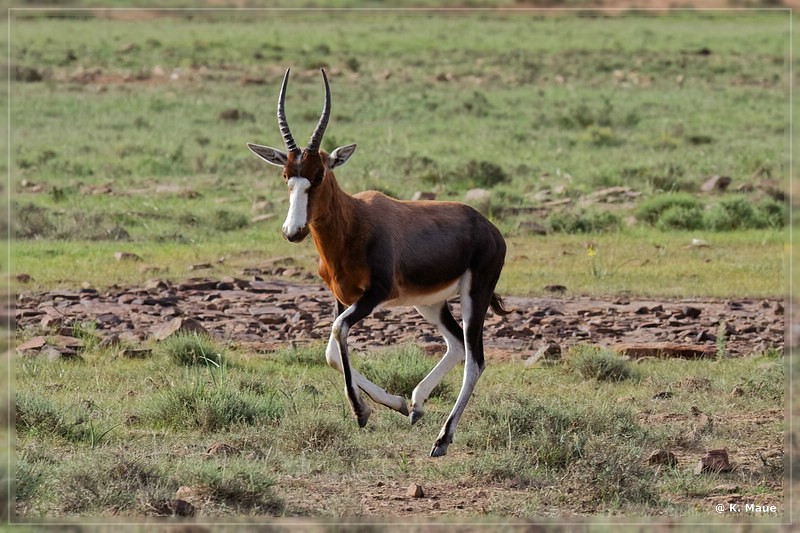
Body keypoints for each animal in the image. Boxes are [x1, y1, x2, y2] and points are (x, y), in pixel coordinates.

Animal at [247, 67, 506, 458]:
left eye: (320, 174)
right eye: (287, 175)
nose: (293, 231)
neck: (355, 223)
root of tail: (489, 228)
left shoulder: (374, 295)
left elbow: (339, 331)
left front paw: (361, 412)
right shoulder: (342, 297)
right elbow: (331, 350)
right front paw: (391, 405)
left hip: (474, 295)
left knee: (476, 359)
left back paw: (442, 440)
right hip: (428, 303)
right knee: (457, 345)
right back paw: (415, 405)